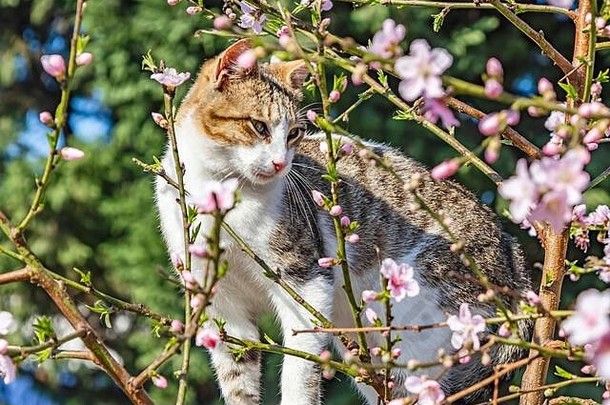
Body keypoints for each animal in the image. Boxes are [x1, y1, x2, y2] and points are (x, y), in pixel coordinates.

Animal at [154, 40, 528, 404]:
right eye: (259, 127)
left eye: (294, 134)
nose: (280, 164)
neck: (221, 191)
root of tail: (512, 251)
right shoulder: (222, 304)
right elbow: (237, 377)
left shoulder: (306, 281)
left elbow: (299, 371)